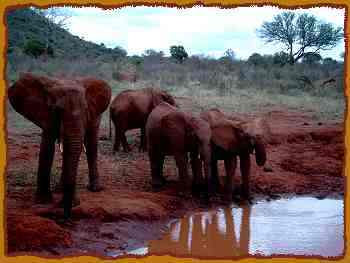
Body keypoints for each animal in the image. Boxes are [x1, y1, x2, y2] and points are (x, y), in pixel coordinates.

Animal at [7, 73, 111, 220]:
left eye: (85, 110)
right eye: (57, 110)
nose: (66, 215)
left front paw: (72, 203)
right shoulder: (46, 115)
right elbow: (47, 149)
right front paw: (43, 201)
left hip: (96, 116)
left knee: (91, 146)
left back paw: (95, 189)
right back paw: (59, 190)